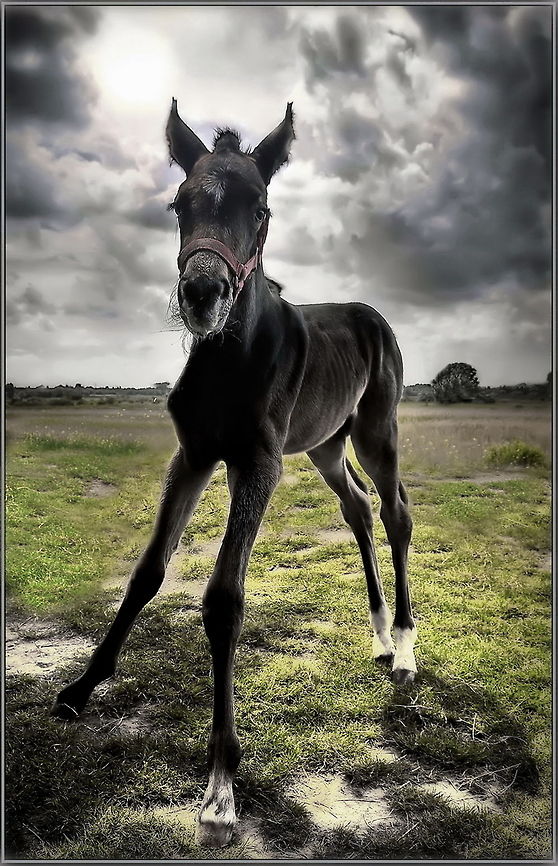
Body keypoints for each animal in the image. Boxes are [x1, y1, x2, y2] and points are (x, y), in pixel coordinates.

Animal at [52, 100, 417, 848]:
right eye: (179, 203)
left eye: (262, 207)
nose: (202, 293)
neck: (230, 359)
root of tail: (369, 313)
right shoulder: (192, 455)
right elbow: (148, 571)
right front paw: (80, 689)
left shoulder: (258, 465)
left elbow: (224, 598)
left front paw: (221, 783)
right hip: (326, 447)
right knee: (360, 510)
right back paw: (375, 635)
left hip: (376, 431)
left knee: (396, 512)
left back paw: (403, 649)